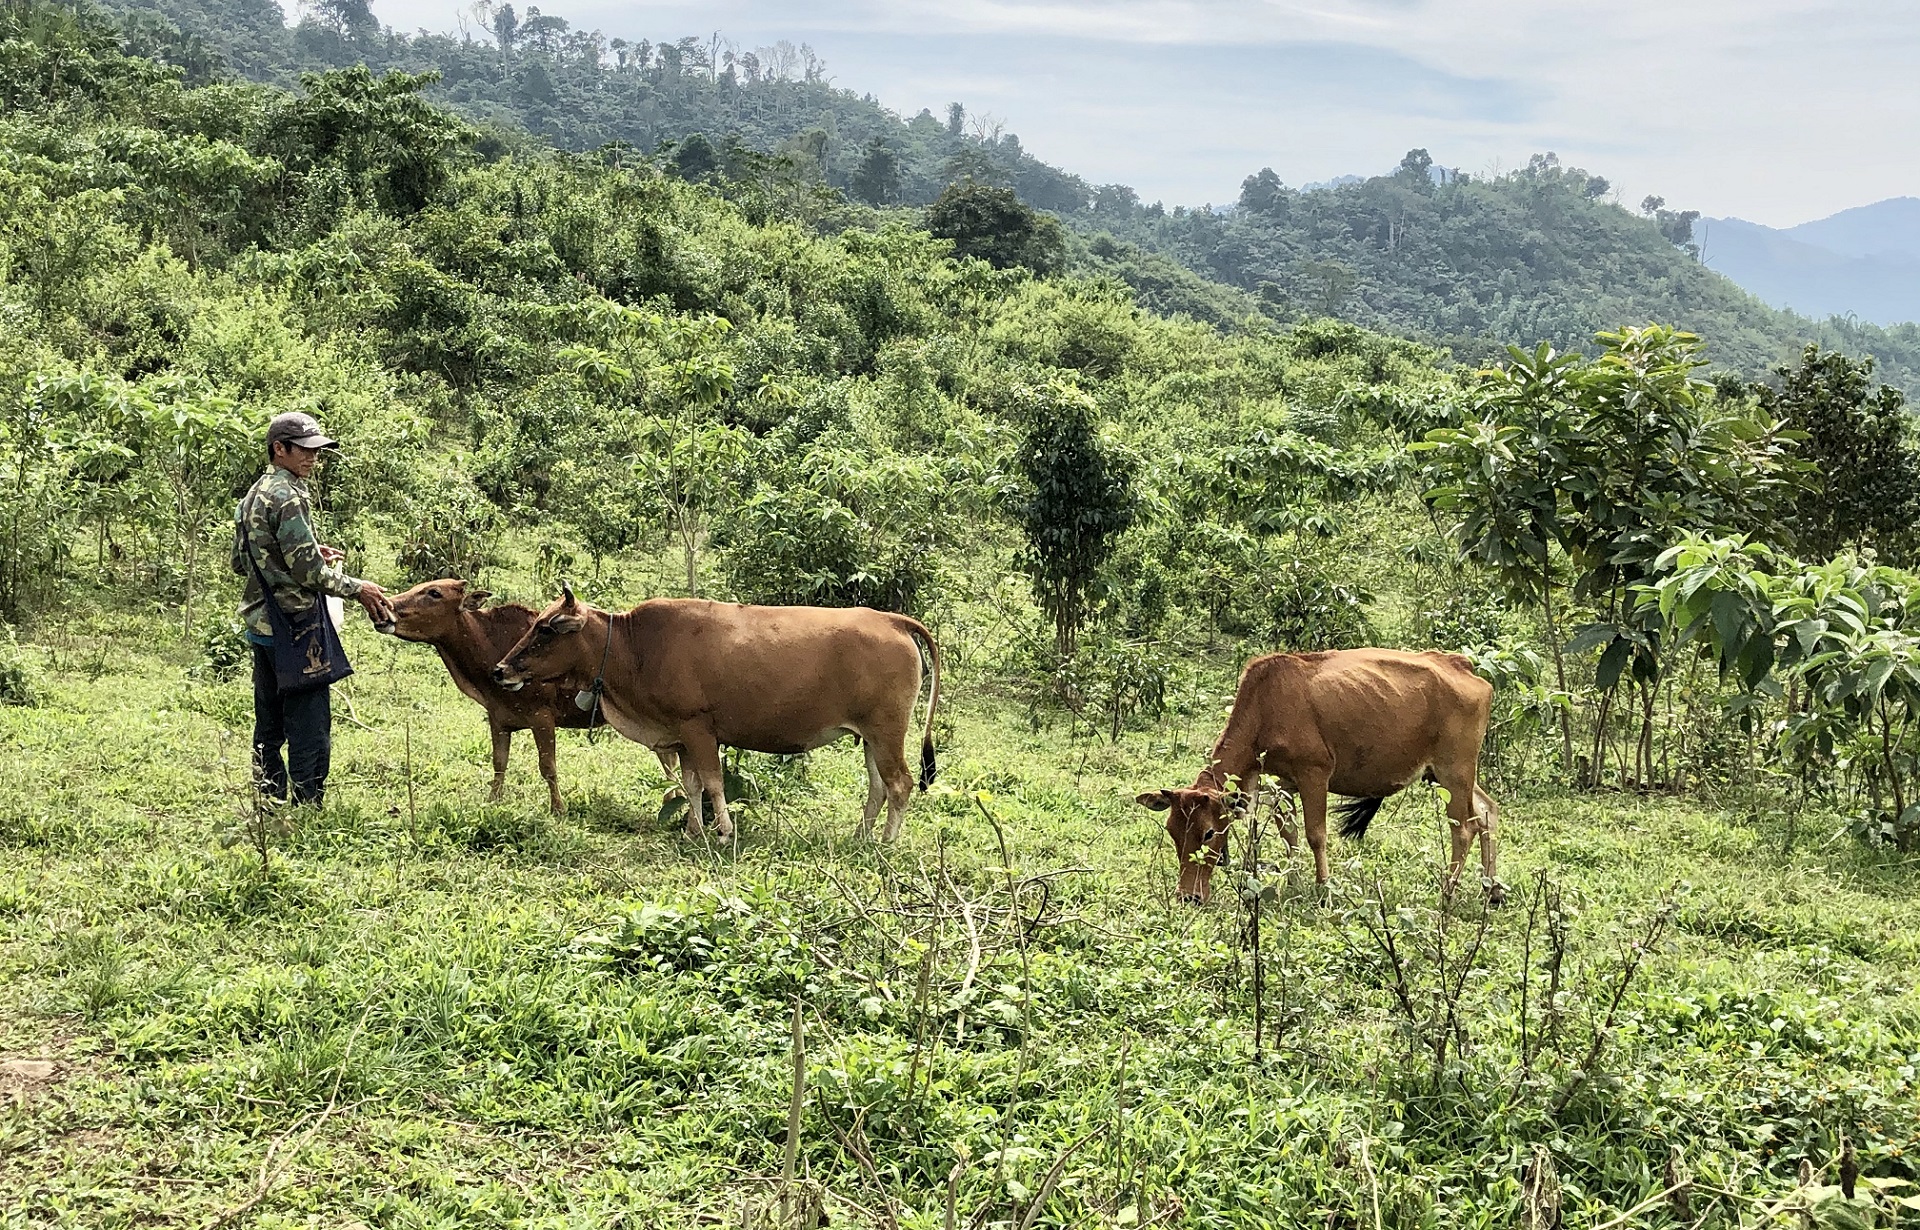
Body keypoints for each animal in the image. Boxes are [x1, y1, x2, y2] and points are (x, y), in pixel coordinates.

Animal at [378, 579, 679, 809]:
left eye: (434, 592)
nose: (386, 608)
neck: (491, 649)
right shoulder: (499, 719)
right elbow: (499, 763)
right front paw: (492, 801)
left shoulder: (541, 717)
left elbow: (548, 767)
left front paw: (558, 809)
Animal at [491, 579, 940, 840]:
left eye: (546, 630)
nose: (500, 670)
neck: (633, 647)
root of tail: (893, 621)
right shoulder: (681, 737)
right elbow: (692, 786)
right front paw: (693, 829)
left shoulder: (698, 730)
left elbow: (713, 783)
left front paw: (722, 831)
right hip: (870, 738)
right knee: (878, 787)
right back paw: (861, 836)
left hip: (886, 732)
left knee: (900, 784)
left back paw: (886, 843)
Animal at [1128, 652, 1505, 901]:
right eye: (1173, 831)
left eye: (1208, 833)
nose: (1188, 896)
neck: (1266, 706)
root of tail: (1462, 664)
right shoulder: (1278, 783)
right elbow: (1289, 834)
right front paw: (1293, 883)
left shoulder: (1315, 774)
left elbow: (1315, 835)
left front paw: (1323, 889)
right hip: (1448, 775)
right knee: (1488, 811)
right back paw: (1491, 890)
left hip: (1454, 771)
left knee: (1465, 829)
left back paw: (1448, 892)